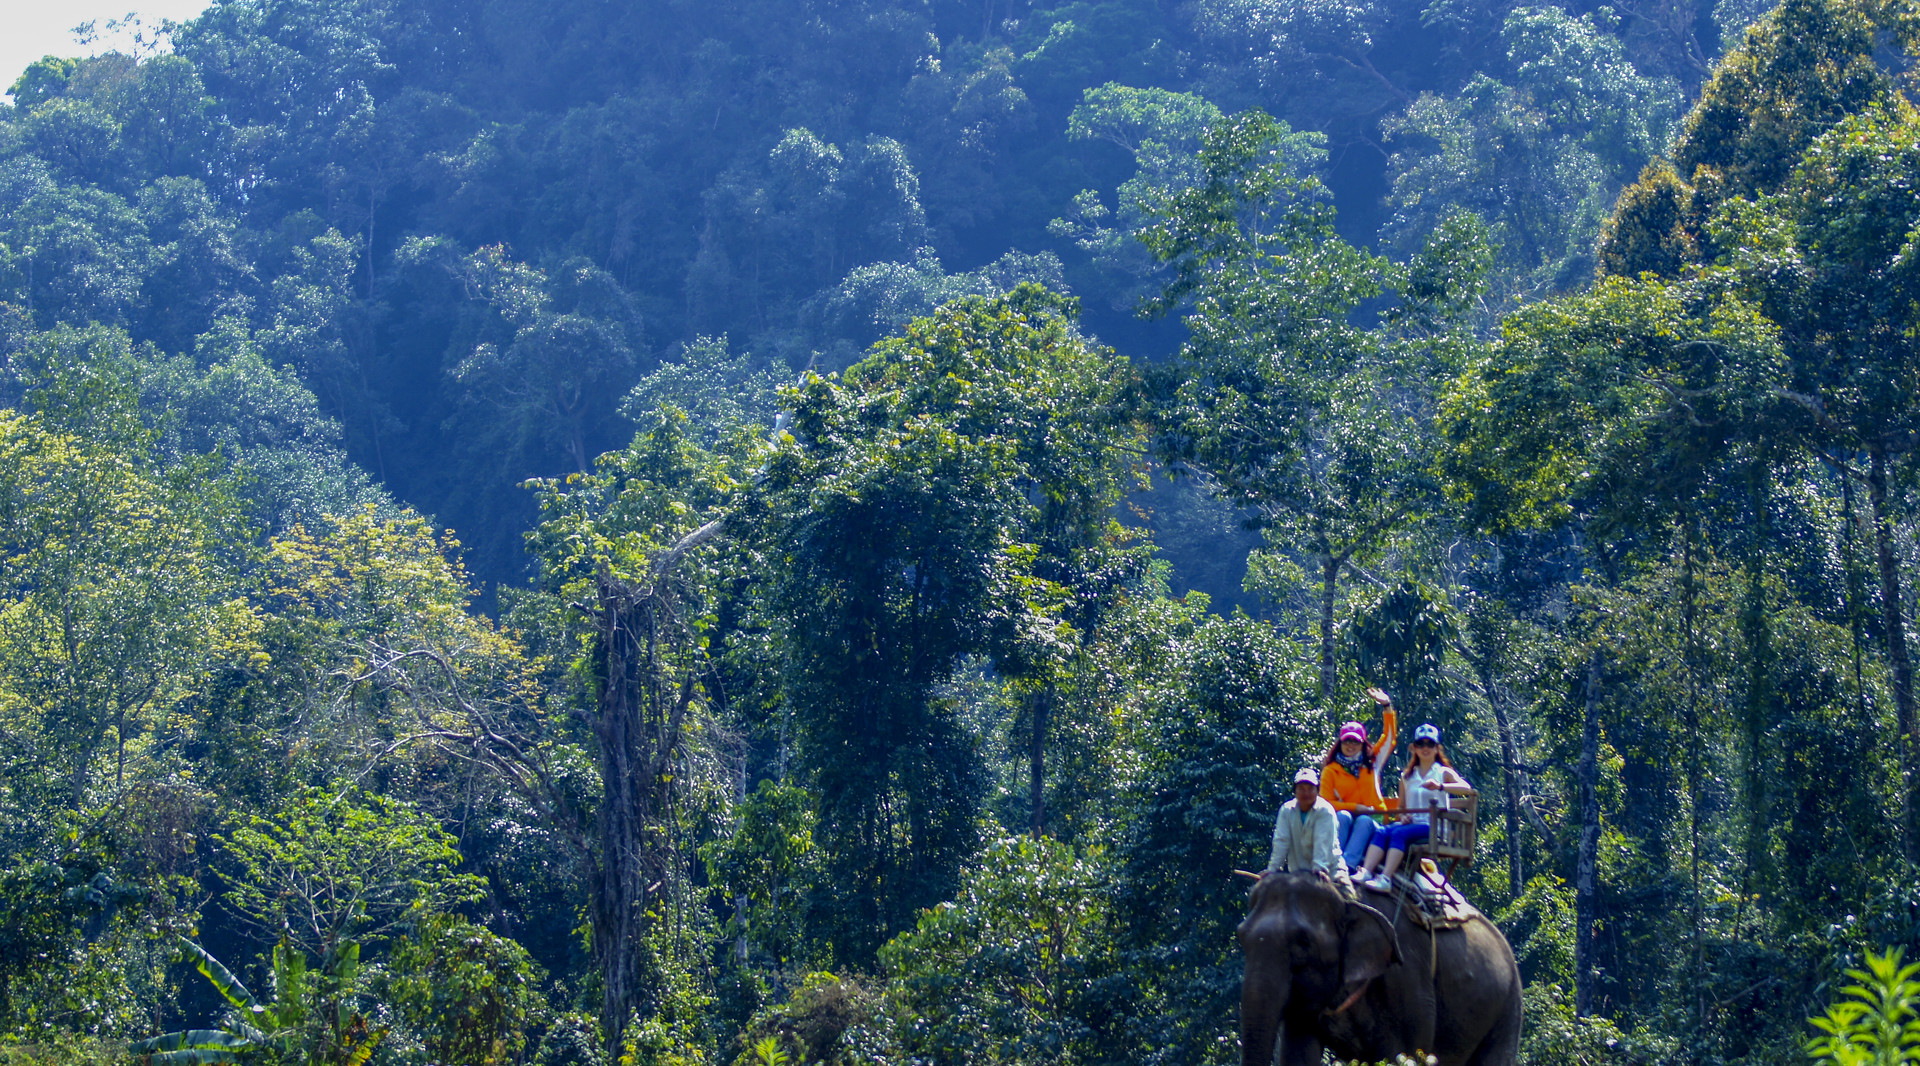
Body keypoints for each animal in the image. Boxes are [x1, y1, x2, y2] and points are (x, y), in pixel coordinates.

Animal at [1236, 875, 1520, 1066]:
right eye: (1241, 936)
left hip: (1507, 1004)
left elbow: (1400, 1053)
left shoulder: (1407, 976)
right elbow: (1299, 1055)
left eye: (1303, 942)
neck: (1347, 899)